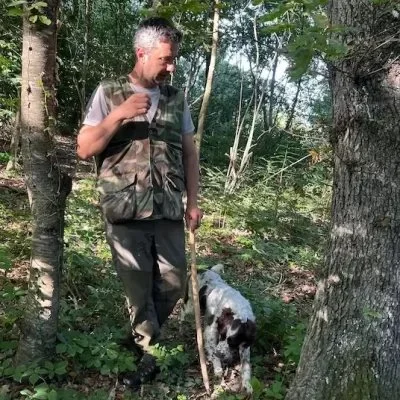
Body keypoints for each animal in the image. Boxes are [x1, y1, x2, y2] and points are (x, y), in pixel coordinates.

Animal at [186, 264, 256, 395]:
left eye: (232, 342)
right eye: (221, 335)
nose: (218, 354)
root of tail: (203, 269)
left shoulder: (244, 344)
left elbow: (246, 366)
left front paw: (247, 384)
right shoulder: (211, 330)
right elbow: (212, 349)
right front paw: (217, 369)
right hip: (191, 305)